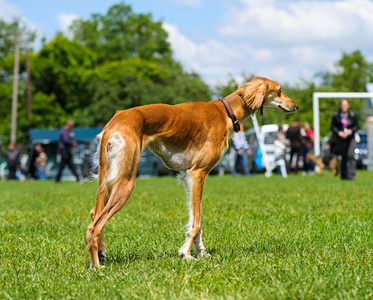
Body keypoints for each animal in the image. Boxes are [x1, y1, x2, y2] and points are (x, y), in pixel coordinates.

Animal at [83, 76, 296, 268]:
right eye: (279, 90)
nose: (295, 106)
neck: (227, 112)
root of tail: (115, 121)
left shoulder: (189, 177)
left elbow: (195, 219)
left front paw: (200, 252)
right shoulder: (198, 173)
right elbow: (197, 223)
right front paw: (185, 253)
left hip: (108, 178)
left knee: (95, 213)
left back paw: (100, 253)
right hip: (126, 181)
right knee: (95, 226)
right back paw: (96, 267)